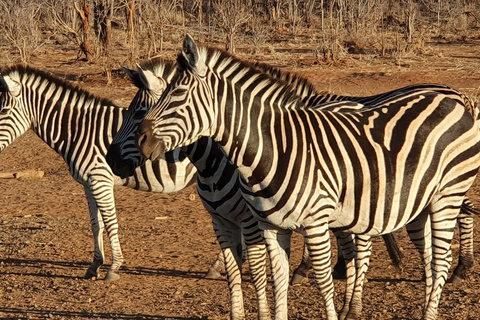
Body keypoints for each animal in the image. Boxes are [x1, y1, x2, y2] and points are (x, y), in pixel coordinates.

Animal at [0, 63, 197, 282]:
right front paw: (95, 265)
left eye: (3, 111)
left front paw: (114, 267)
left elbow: (111, 223)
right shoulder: (89, 183)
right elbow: (96, 224)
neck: (79, 131)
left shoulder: (100, 180)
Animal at [134, 35, 480, 320]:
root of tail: (457, 100)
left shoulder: (314, 222)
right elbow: (277, 281)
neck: (270, 149)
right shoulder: (271, 226)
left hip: (447, 194)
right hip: (418, 202)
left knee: (441, 259)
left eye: (178, 94)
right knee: (430, 257)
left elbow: (324, 283)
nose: (142, 141)